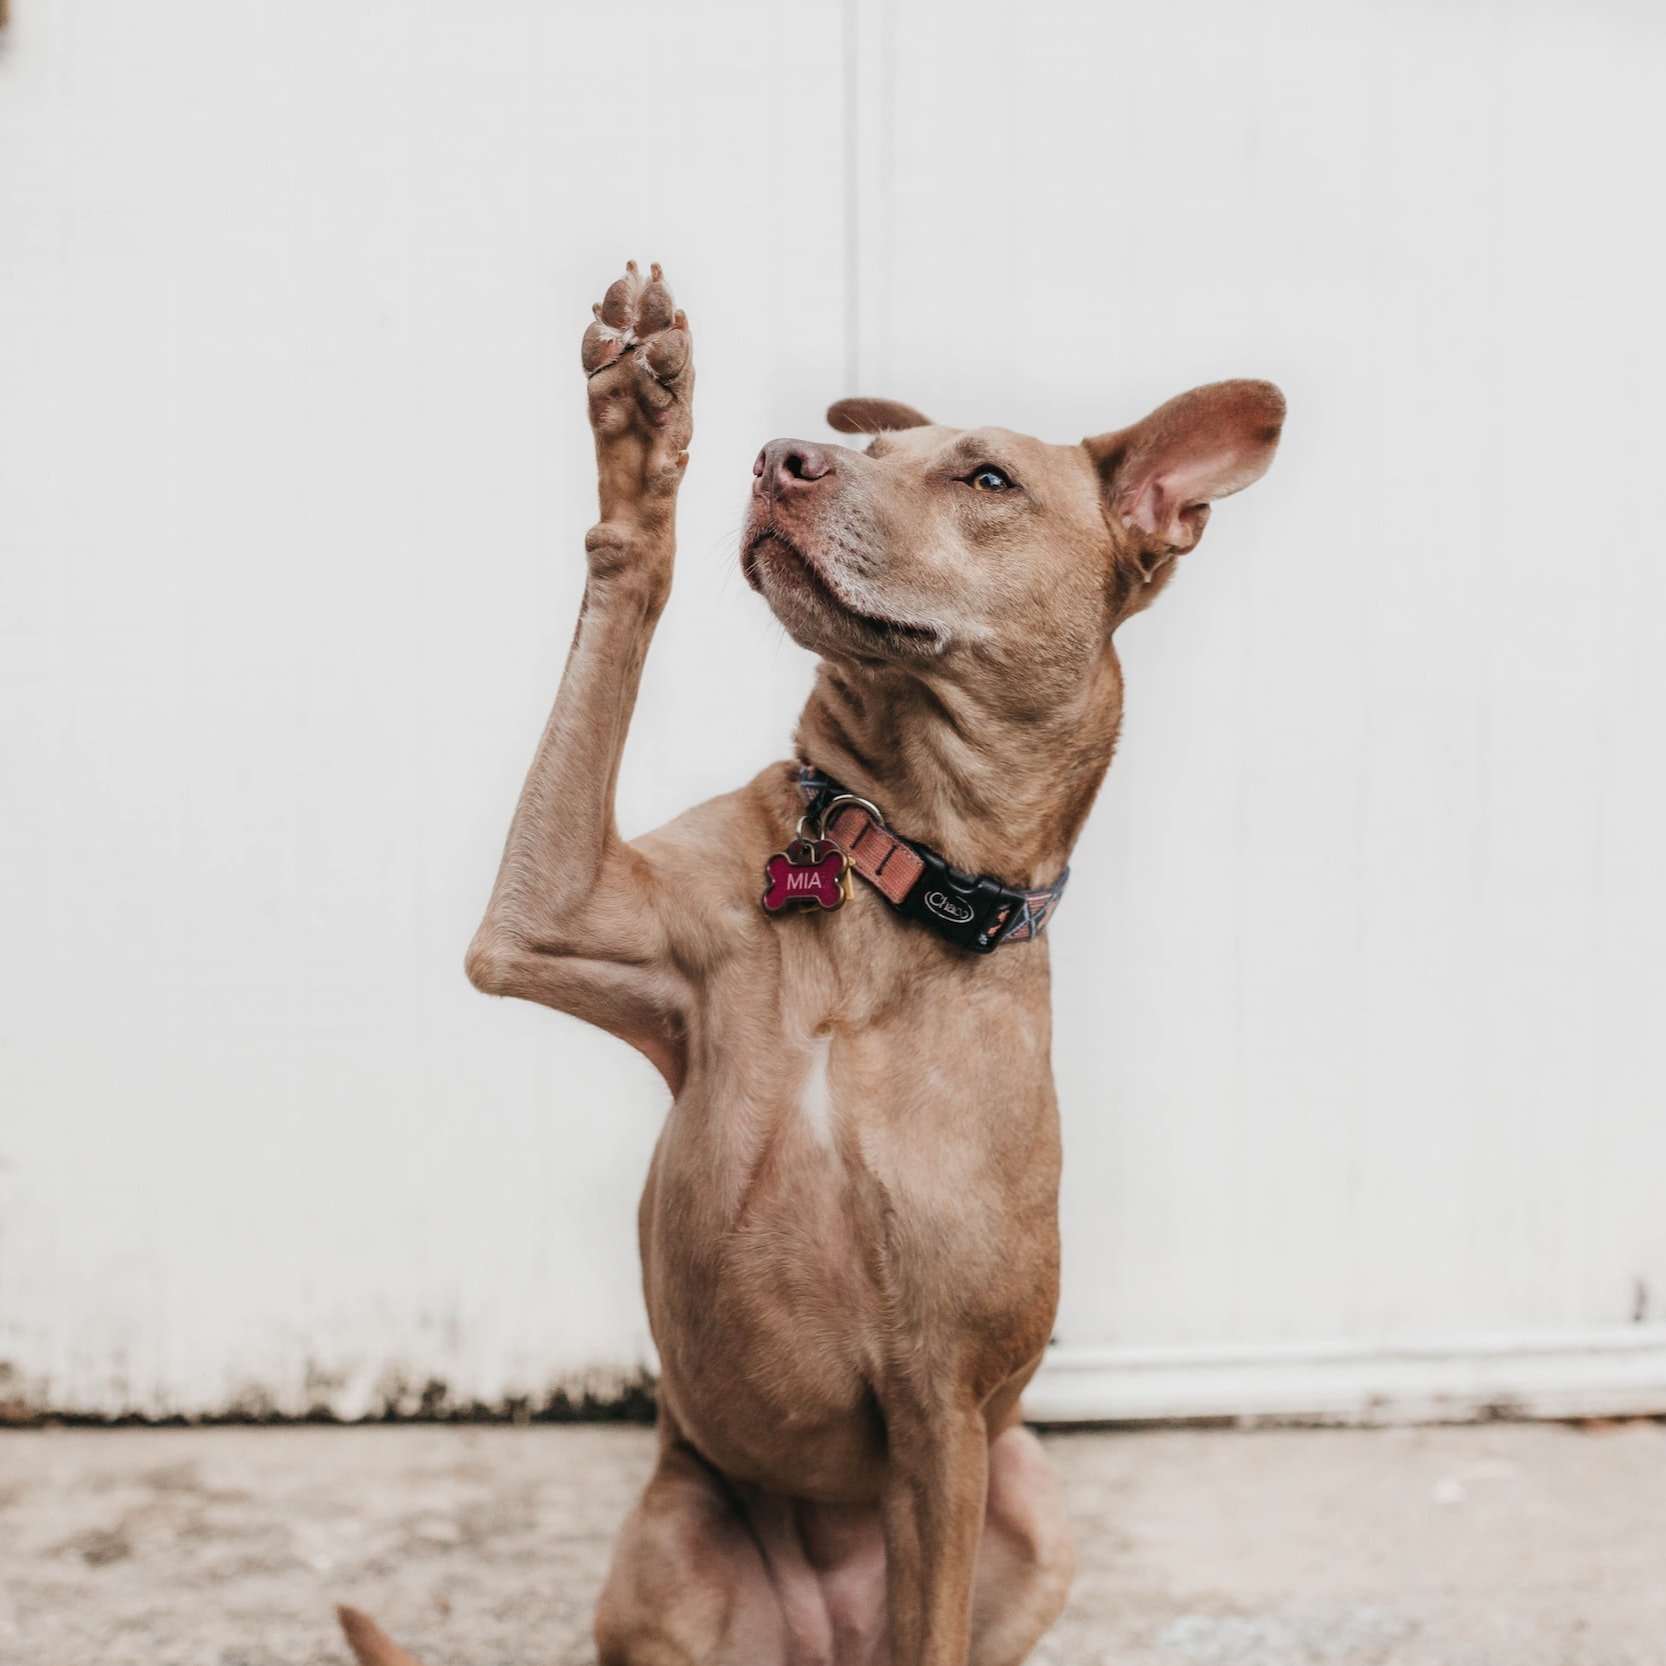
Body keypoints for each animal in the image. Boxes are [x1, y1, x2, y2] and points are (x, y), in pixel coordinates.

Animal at [338, 266, 1286, 1666]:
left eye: (985, 477)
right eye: (873, 450)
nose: (783, 456)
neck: (886, 874)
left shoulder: (942, 1411)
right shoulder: (541, 915)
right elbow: (622, 593)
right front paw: (641, 436)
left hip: (1028, 1497)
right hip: (673, 1543)